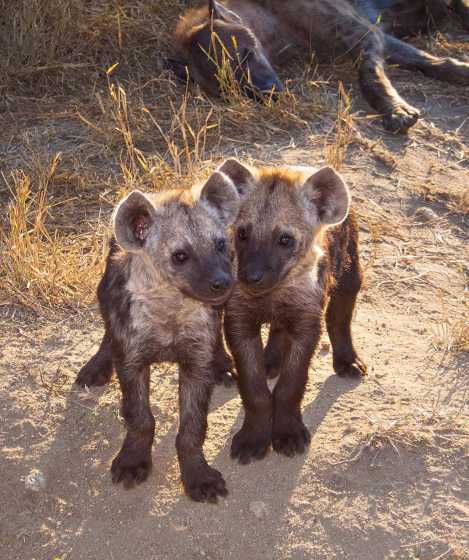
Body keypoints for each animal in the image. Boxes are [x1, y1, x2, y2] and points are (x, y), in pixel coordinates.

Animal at [75, 170, 240, 502]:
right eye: (180, 255)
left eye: (219, 244)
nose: (222, 281)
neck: (170, 308)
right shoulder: (132, 355)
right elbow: (139, 415)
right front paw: (132, 463)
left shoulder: (195, 357)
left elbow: (193, 424)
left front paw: (199, 477)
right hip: (105, 288)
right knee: (107, 325)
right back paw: (96, 367)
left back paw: (222, 364)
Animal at [170, 0, 469, 133]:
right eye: (232, 88)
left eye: (246, 54)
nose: (270, 93)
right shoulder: (376, 34)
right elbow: (421, 58)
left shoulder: (362, 34)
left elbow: (370, 73)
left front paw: (397, 112)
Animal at [217, 158, 366, 463]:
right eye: (242, 233)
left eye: (285, 239)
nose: (250, 276)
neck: (276, 293)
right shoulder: (238, 315)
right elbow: (252, 385)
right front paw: (253, 439)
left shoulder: (307, 316)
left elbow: (292, 381)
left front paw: (289, 436)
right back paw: (264, 363)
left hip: (350, 262)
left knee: (341, 312)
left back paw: (348, 362)